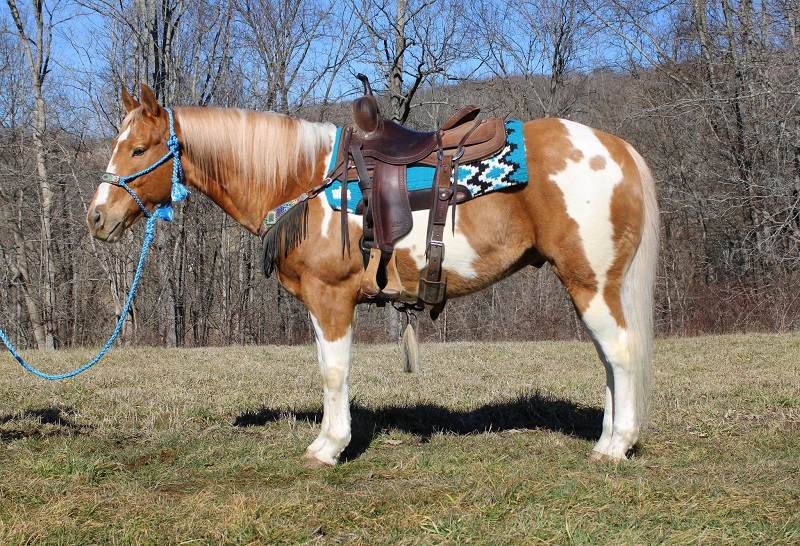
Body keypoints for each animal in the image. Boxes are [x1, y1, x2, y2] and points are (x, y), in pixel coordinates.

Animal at [87, 84, 659, 466]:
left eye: (138, 149)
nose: (96, 217)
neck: (306, 178)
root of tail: (619, 148)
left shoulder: (331, 298)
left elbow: (334, 372)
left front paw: (330, 448)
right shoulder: (319, 305)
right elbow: (325, 366)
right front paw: (326, 439)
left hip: (591, 284)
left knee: (621, 354)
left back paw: (616, 446)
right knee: (610, 360)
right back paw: (607, 439)